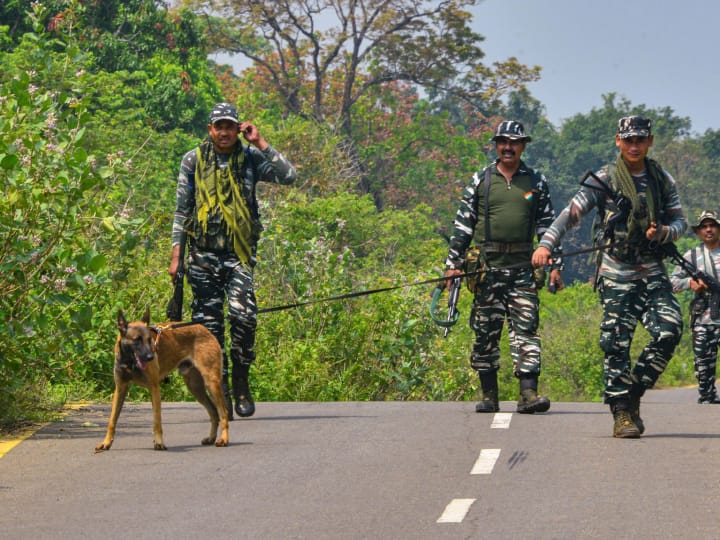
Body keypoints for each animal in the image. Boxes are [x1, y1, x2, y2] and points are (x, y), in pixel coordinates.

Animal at [93, 308, 228, 452]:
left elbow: (157, 421)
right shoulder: (120, 389)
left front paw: (159, 442)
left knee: (223, 412)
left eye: (149, 340)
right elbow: (112, 420)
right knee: (214, 412)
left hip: (211, 383)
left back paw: (224, 439)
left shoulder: (154, 388)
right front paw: (106, 442)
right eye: (137, 340)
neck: (130, 362)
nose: (151, 357)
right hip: (195, 387)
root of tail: (205, 329)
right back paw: (211, 438)